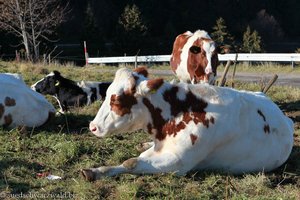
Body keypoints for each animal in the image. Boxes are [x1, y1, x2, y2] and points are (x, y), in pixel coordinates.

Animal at [81, 67, 294, 181]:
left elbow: (131, 162)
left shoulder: (177, 162)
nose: (92, 126)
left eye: (117, 101)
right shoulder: (161, 148)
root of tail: (287, 120)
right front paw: (94, 170)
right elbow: (131, 160)